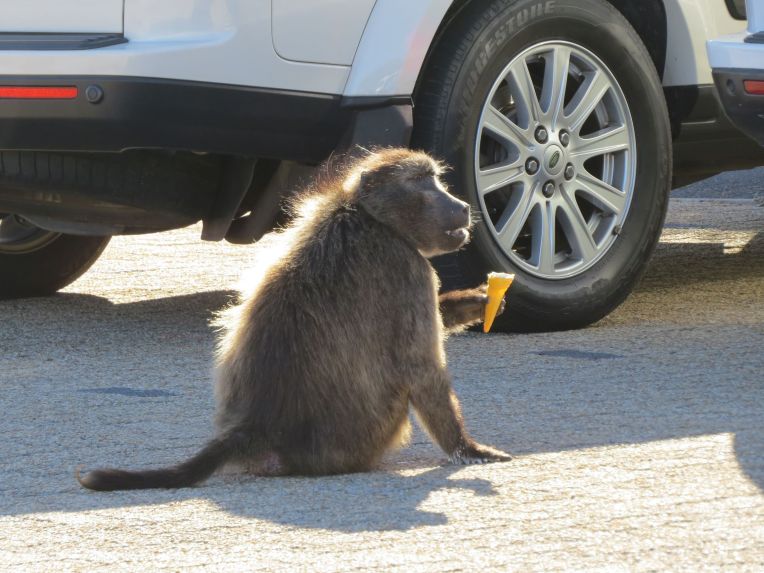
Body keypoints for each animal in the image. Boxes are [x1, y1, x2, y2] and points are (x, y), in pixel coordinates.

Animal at [77, 148, 511, 491]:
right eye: (422, 181)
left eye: (435, 178)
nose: (462, 206)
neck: (368, 216)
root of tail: (255, 427)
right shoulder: (406, 266)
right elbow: (422, 368)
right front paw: (467, 449)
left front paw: (481, 301)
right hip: (366, 436)